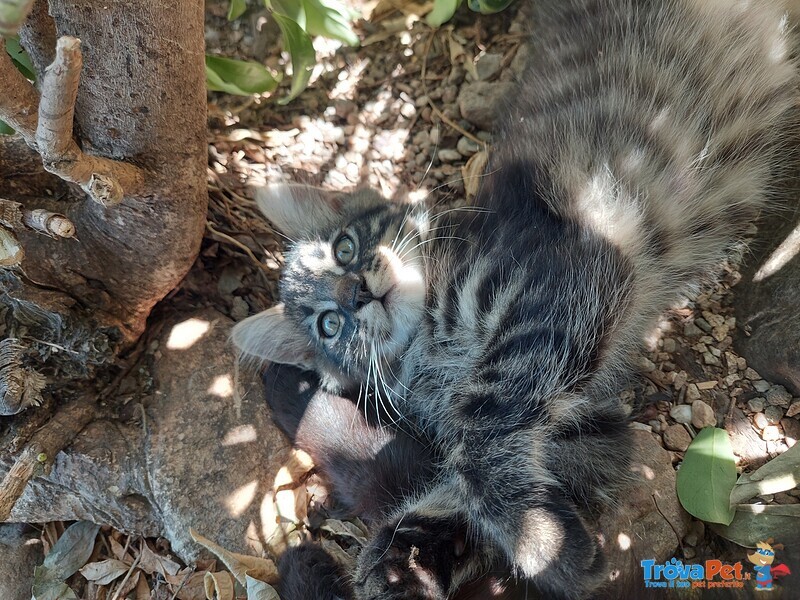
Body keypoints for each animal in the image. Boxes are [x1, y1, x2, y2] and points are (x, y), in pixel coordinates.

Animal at [234, 1, 796, 596]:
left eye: (344, 248)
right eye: (329, 325)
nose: (357, 291)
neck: (433, 345)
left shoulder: (555, 291)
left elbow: (477, 440)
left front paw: (541, 544)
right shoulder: (587, 419)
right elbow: (471, 477)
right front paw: (411, 554)